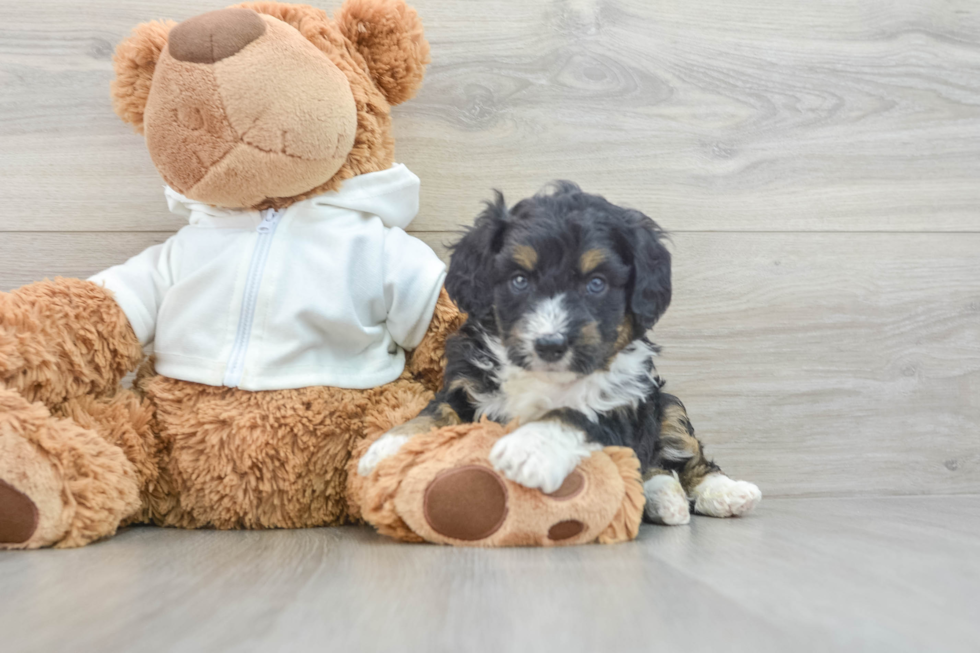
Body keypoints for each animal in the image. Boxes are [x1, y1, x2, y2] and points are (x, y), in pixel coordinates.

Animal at [356, 181, 760, 524]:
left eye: (596, 284)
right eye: (519, 280)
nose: (550, 344)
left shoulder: (623, 402)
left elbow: (576, 413)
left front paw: (527, 449)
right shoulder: (466, 387)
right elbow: (433, 414)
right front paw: (390, 447)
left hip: (665, 403)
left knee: (687, 455)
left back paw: (726, 493)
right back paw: (665, 497)